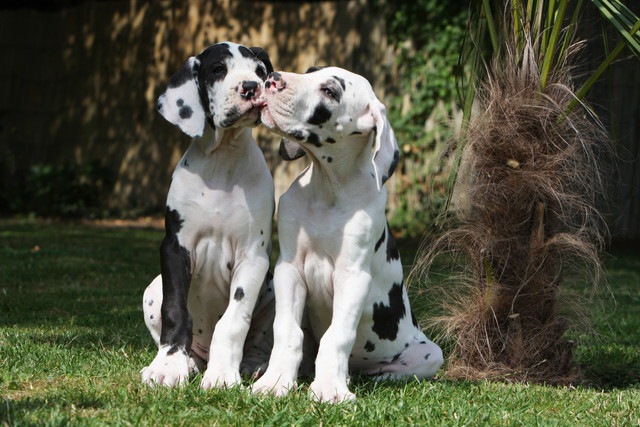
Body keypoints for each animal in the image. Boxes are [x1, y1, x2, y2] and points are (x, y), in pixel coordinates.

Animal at [142, 41, 276, 390]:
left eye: (260, 71)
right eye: (218, 70)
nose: (251, 87)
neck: (223, 160)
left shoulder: (252, 256)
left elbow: (233, 320)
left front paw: (222, 374)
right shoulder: (175, 248)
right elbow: (175, 310)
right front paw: (169, 366)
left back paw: (251, 366)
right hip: (151, 289)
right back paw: (189, 362)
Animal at [252, 67, 442, 404]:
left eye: (330, 91)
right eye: (309, 71)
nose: (272, 78)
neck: (328, 190)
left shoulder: (352, 277)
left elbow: (337, 336)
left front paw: (330, 388)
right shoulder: (289, 269)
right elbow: (287, 330)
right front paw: (276, 381)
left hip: (432, 354)